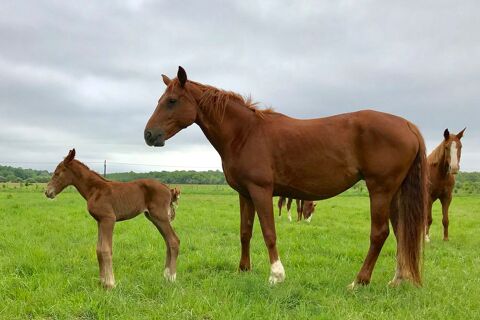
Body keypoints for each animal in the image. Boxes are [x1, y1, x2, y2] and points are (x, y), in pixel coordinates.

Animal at [44, 149, 180, 288]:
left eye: (57, 173)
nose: (47, 192)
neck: (95, 189)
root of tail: (168, 189)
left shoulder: (108, 219)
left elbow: (105, 249)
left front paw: (110, 283)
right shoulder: (100, 221)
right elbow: (98, 250)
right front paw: (102, 282)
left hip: (160, 216)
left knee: (174, 241)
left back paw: (171, 277)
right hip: (154, 218)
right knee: (168, 242)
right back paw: (166, 275)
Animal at [143, 67, 428, 288]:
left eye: (171, 101)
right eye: (159, 99)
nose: (148, 135)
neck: (245, 133)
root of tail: (407, 125)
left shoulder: (261, 190)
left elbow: (269, 232)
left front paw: (276, 276)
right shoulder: (245, 193)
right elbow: (245, 231)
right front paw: (243, 270)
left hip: (380, 190)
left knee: (379, 233)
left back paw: (360, 281)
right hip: (395, 193)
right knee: (401, 233)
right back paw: (397, 279)